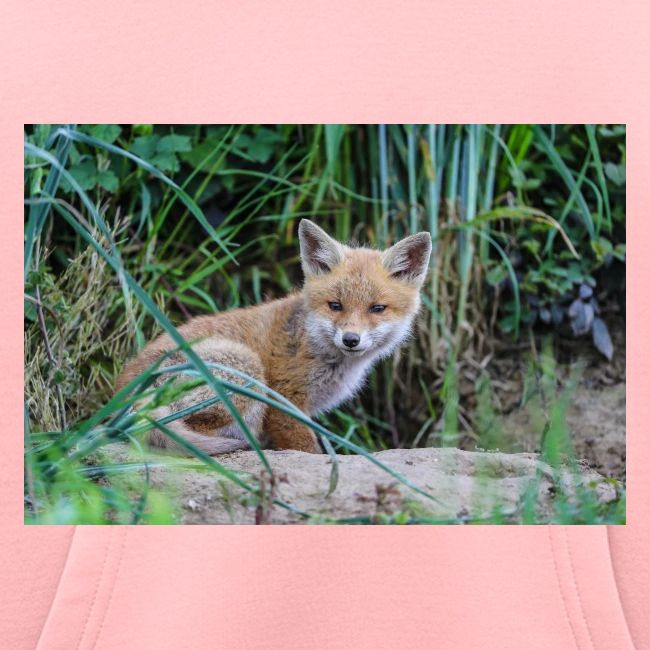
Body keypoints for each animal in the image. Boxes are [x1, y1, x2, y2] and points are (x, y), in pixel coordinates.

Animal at [116, 220, 432, 455]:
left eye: (377, 309)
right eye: (335, 305)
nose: (351, 339)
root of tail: (124, 394)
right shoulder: (284, 400)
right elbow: (307, 449)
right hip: (246, 369)